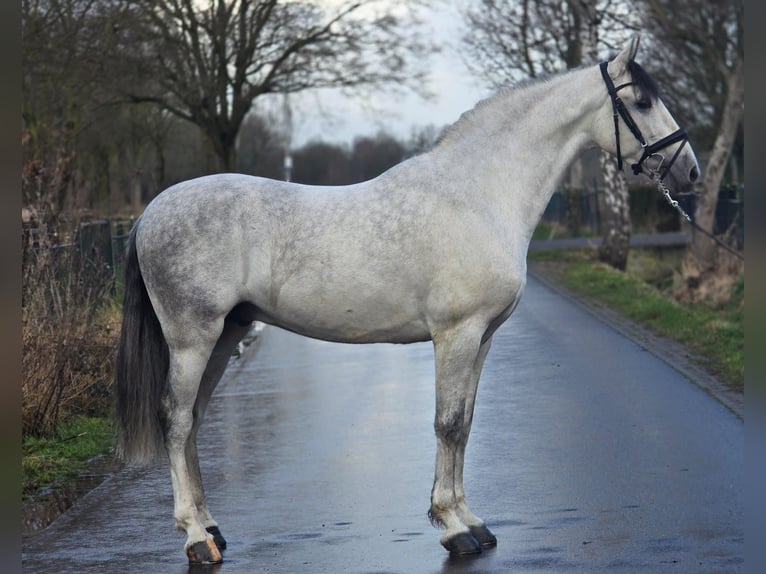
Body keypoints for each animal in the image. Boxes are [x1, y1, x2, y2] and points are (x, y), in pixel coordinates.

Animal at [115, 34, 699, 564]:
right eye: (641, 101)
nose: (689, 171)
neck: (478, 194)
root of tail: (149, 214)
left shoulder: (483, 338)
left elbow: (465, 423)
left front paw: (472, 521)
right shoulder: (457, 333)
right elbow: (447, 423)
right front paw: (452, 529)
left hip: (226, 333)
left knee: (194, 419)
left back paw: (212, 528)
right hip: (193, 338)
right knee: (176, 419)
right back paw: (196, 539)